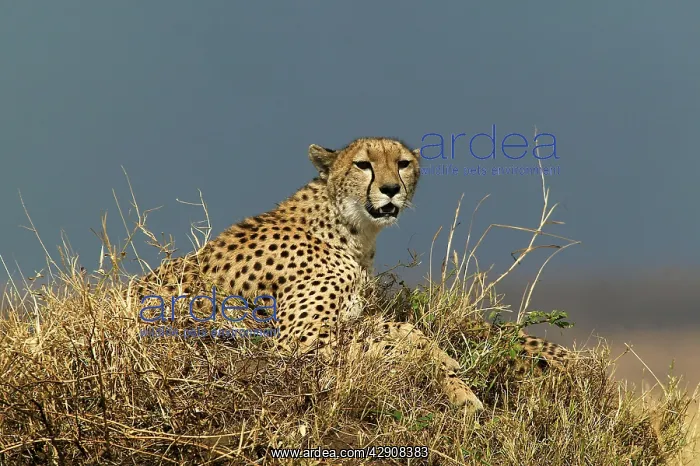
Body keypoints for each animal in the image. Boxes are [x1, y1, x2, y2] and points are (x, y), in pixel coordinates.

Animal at [130, 137, 569, 411]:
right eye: (363, 164)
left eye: (402, 164)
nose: (391, 189)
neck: (348, 227)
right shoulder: (298, 337)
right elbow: (387, 346)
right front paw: (448, 375)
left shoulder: (348, 317)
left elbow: (397, 329)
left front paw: (443, 362)